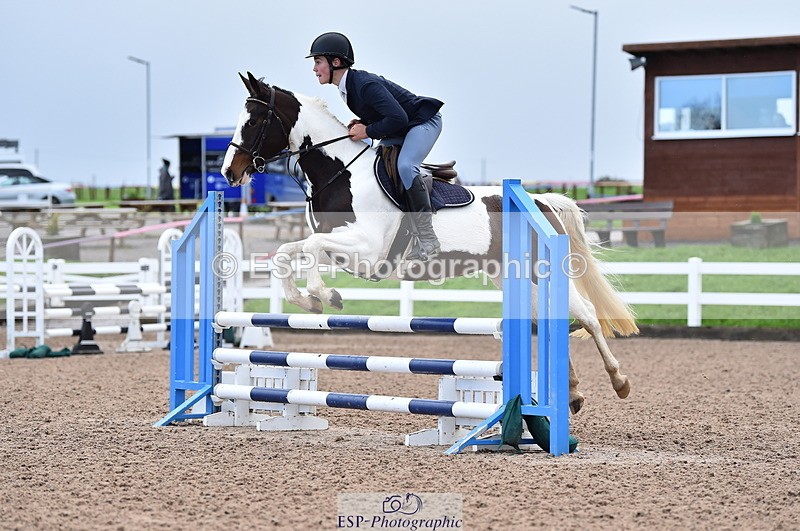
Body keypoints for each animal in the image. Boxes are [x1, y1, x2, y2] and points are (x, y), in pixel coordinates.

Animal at [221, 72, 639, 414]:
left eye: (253, 121)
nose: (229, 172)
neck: (340, 173)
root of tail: (542, 201)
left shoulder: (367, 251)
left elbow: (309, 249)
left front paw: (327, 296)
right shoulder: (340, 245)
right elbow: (288, 253)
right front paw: (307, 300)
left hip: (541, 271)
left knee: (586, 314)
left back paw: (619, 381)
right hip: (515, 276)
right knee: (549, 319)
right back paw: (572, 393)